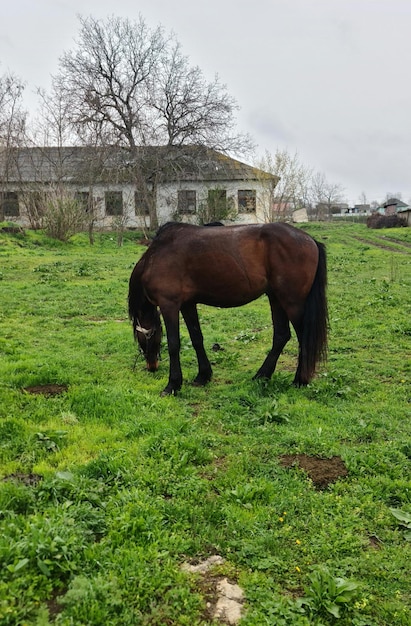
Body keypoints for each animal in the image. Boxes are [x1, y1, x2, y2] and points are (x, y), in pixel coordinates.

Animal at [129, 222, 328, 392]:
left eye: (141, 338)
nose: (152, 366)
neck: (156, 257)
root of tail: (310, 240)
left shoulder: (169, 304)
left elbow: (173, 344)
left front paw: (173, 385)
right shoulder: (187, 304)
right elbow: (196, 338)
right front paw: (203, 376)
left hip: (292, 303)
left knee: (303, 338)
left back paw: (299, 380)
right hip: (276, 298)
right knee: (281, 335)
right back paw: (261, 376)